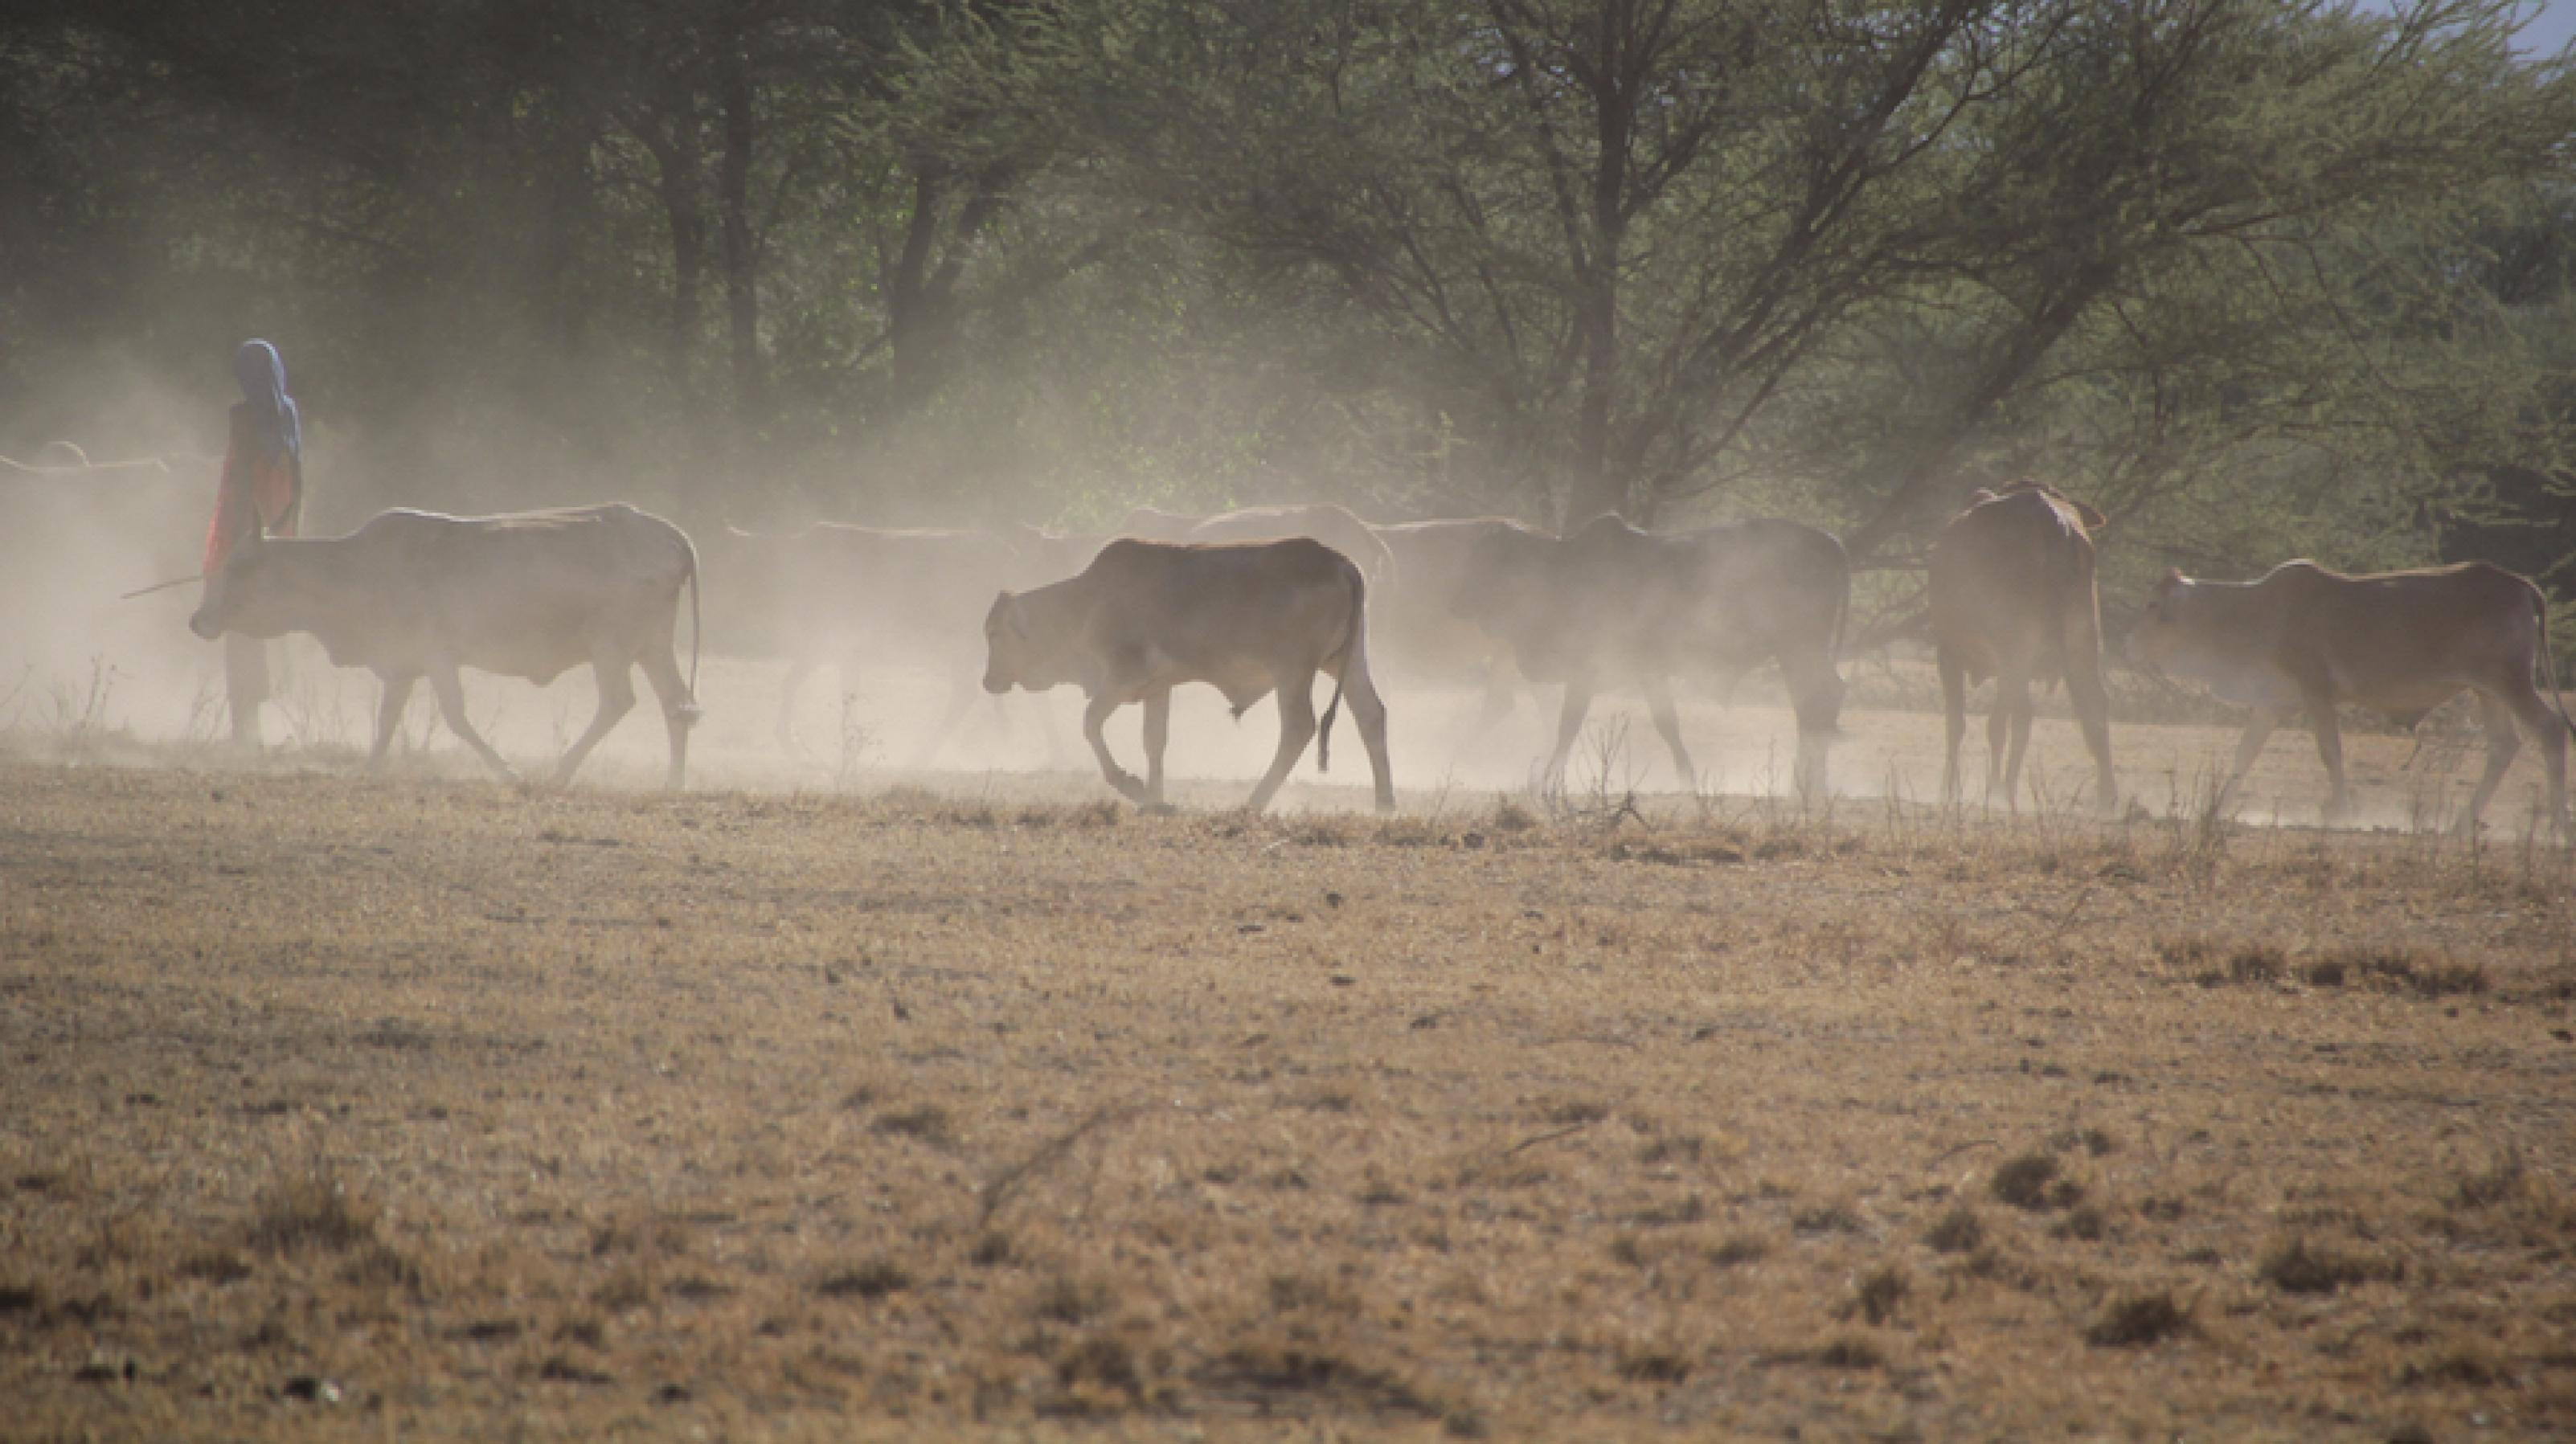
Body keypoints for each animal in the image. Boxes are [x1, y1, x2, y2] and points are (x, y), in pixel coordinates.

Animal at [186, 501, 700, 782]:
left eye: (238, 568)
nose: (198, 620)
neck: (356, 570)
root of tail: (669, 534)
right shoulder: (401, 665)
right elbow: (386, 722)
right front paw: (371, 770)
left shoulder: (438, 656)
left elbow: (456, 718)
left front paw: (507, 771)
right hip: (653, 647)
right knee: (678, 705)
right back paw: (674, 782)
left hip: (610, 647)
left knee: (618, 702)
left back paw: (559, 772)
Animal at [978, 538, 1390, 813]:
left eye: (995, 633)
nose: (987, 681)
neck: (1088, 603)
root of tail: (1342, 564)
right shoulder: (1157, 688)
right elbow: (1154, 740)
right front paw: (1154, 800)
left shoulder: (1121, 679)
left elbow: (1090, 722)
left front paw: (1131, 785)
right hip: (1346, 662)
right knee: (1371, 715)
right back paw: (1384, 803)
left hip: (1293, 672)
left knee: (1298, 728)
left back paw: (1253, 803)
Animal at [1463, 512, 1844, 792]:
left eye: (1491, 559)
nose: (1461, 600)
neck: (1563, 571)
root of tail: (1831, 541)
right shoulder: (1647, 672)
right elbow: (1667, 724)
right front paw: (1688, 777)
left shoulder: (1588, 670)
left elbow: (1568, 725)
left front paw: (1544, 781)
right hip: (1800, 654)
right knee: (1819, 706)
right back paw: (1810, 785)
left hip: (1799, 650)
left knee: (1816, 705)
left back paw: (1805, 786)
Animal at [1937, 481, 2112, 813]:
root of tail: (2054, 519)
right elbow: (1994, 724)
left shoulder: (1950, 654)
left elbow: (1958, 724)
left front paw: (1951, 791)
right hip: (2082, 645)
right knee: (2095, 714)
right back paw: (2108, 799)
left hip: (2014, 649)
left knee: (2020, 716)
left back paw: (2006, 791)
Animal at [2122, 561, 2566, 833]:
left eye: (2152, 605)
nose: (2128, 644)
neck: (2258, 612)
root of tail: (2521, 585)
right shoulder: (2271, 703)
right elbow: (2244, 755)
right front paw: (2214, 808)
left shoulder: (2316, 691)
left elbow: (2330, 752)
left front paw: (2339, 812)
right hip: (2487, 690)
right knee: (2503, 746)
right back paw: (2462, 823)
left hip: (2512, 684)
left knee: (2551, 730)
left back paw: (2558, 822)